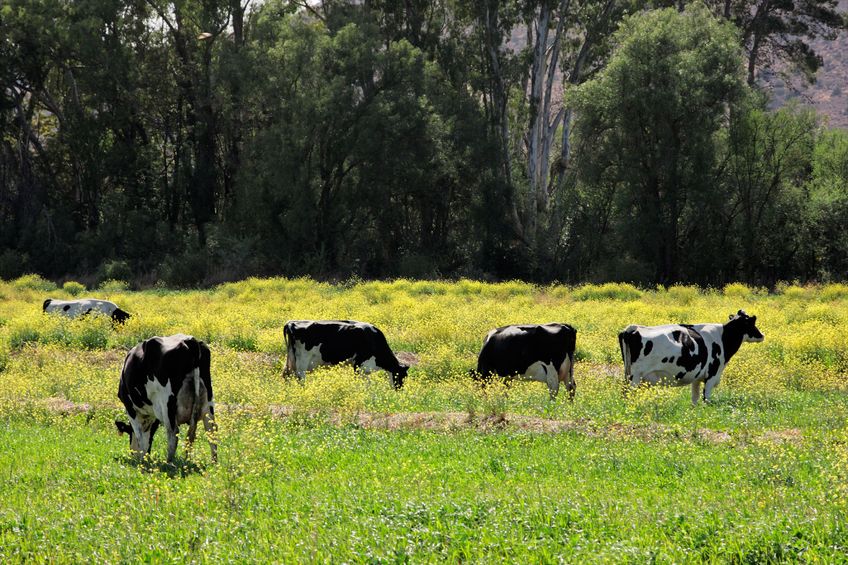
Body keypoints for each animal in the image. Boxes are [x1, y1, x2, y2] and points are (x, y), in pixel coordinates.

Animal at [114, 332, 217, 460]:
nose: (133, 455)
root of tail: (190, 340)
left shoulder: (130, 408)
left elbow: (139, 436)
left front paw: (142, 459)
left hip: (167, 403)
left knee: (173, 433)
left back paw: (169, 461)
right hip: (208, 400)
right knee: (211, 431)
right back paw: (213, 462)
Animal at [620, 308, 764, 406]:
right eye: (751, 322)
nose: (762, 335)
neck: (722, 338)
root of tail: (634, 328)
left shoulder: (697, 378)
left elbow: (695, 399)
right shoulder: (711, 376)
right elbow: (706, 399)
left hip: (628, 374)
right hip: (635, 377)